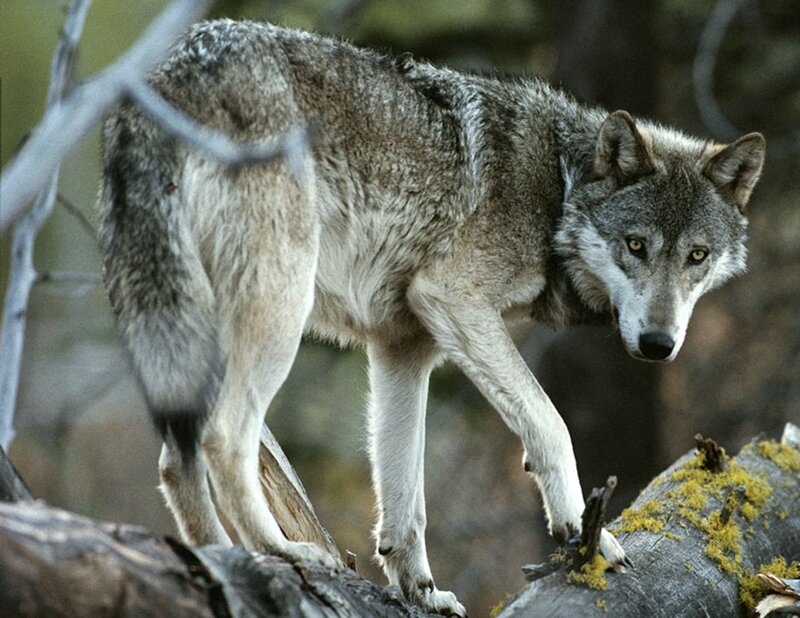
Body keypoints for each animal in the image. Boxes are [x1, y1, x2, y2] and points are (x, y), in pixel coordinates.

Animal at [99, 19, 765, 616]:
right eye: (636, 246)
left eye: (696, 256)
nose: (657, 344)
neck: (557, 187)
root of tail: (175, 71)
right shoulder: (451, 300)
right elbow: (550, 426)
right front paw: (585, 533)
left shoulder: (403, 346)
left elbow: (404, 495)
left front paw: (420, 591)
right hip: (276, 312)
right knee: (221, 437)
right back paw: (280, 553)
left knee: (174, 458)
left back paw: (215, 562)